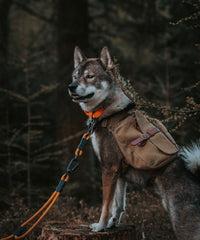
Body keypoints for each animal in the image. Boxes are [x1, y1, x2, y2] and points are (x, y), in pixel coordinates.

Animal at [69, 46, 200, 239]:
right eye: (75, 76)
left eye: (90, 76)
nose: (71, 87)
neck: (110, 111)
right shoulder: (119, 175)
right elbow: (118, 206)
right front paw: (112, 224)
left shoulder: (109, 169)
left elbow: (106, 206)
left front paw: (100, 226)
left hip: (185, 229)